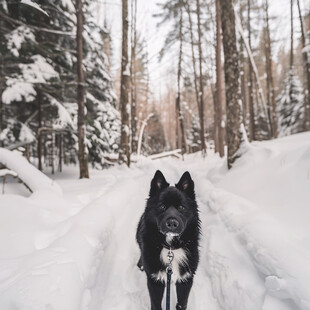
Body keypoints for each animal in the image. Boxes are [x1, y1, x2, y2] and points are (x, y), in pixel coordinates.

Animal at [136, 171, 200, 308]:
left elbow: (182, 304)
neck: (171, 247)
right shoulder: (155, 281)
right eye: (162, 207)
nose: (172, 223)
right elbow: (156, 305)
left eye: (181, 207)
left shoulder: (186, 280)